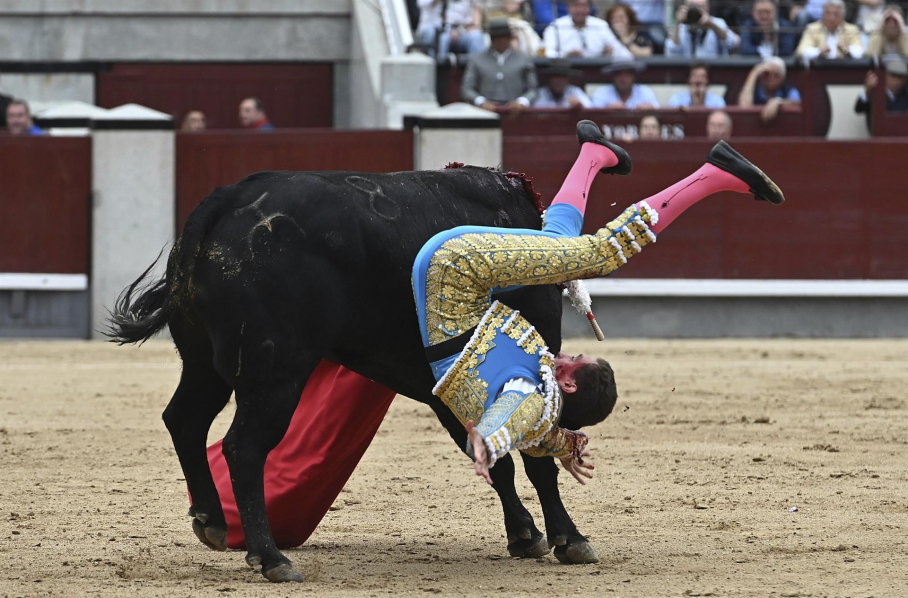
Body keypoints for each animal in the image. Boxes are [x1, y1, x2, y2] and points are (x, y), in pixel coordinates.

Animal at [113, 166, 608, 584]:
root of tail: (228, 199)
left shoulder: (445, 390)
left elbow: (493, 457)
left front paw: (525, 535)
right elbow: (535, 460)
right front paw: (570, 538)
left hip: (203, 362)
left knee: (185, 420)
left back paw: (213, 522)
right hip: (275, 372)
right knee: (243, 447)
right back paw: (271, 558)